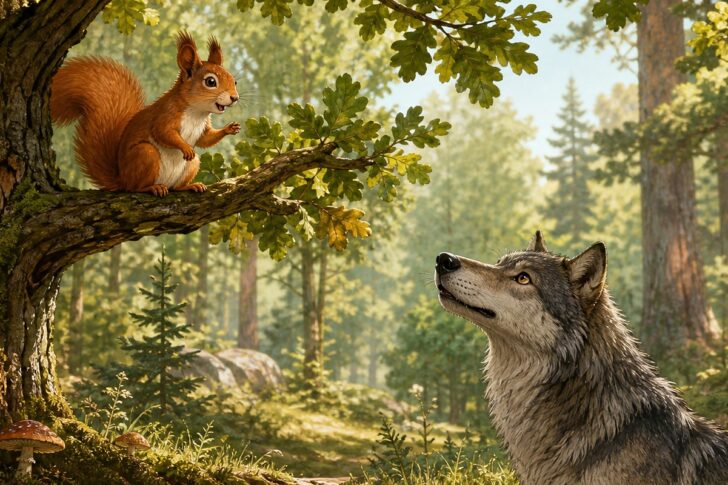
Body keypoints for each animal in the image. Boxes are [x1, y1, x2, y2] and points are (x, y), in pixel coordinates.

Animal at [50, 31, 240, 196]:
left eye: (234, 80)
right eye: (211, 81)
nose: (235, 98)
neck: (197, 112)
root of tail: (122, 179)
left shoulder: (203, 127)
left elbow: (206, 139)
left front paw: (230, 128)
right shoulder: (166, 115)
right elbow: (163, 132)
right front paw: (186, 147)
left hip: (192, 165)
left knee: (176, 185)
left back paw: (189, 186)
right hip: (146, 155)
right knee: (135, 188)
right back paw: (152, 188)